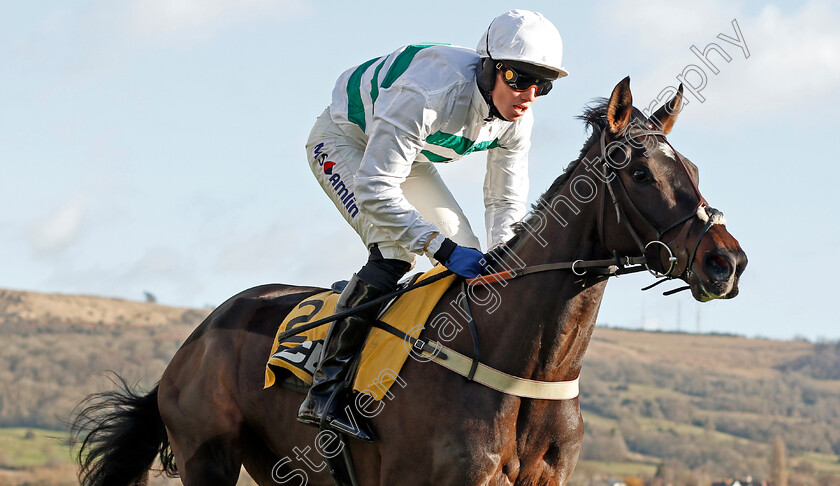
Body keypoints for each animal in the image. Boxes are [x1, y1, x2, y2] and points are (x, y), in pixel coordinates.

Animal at [72, 78, 748, 486]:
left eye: (691, 168)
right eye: (639, 172)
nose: (727, 262)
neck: (521, 367)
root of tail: (195, 339)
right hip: (208, 456)